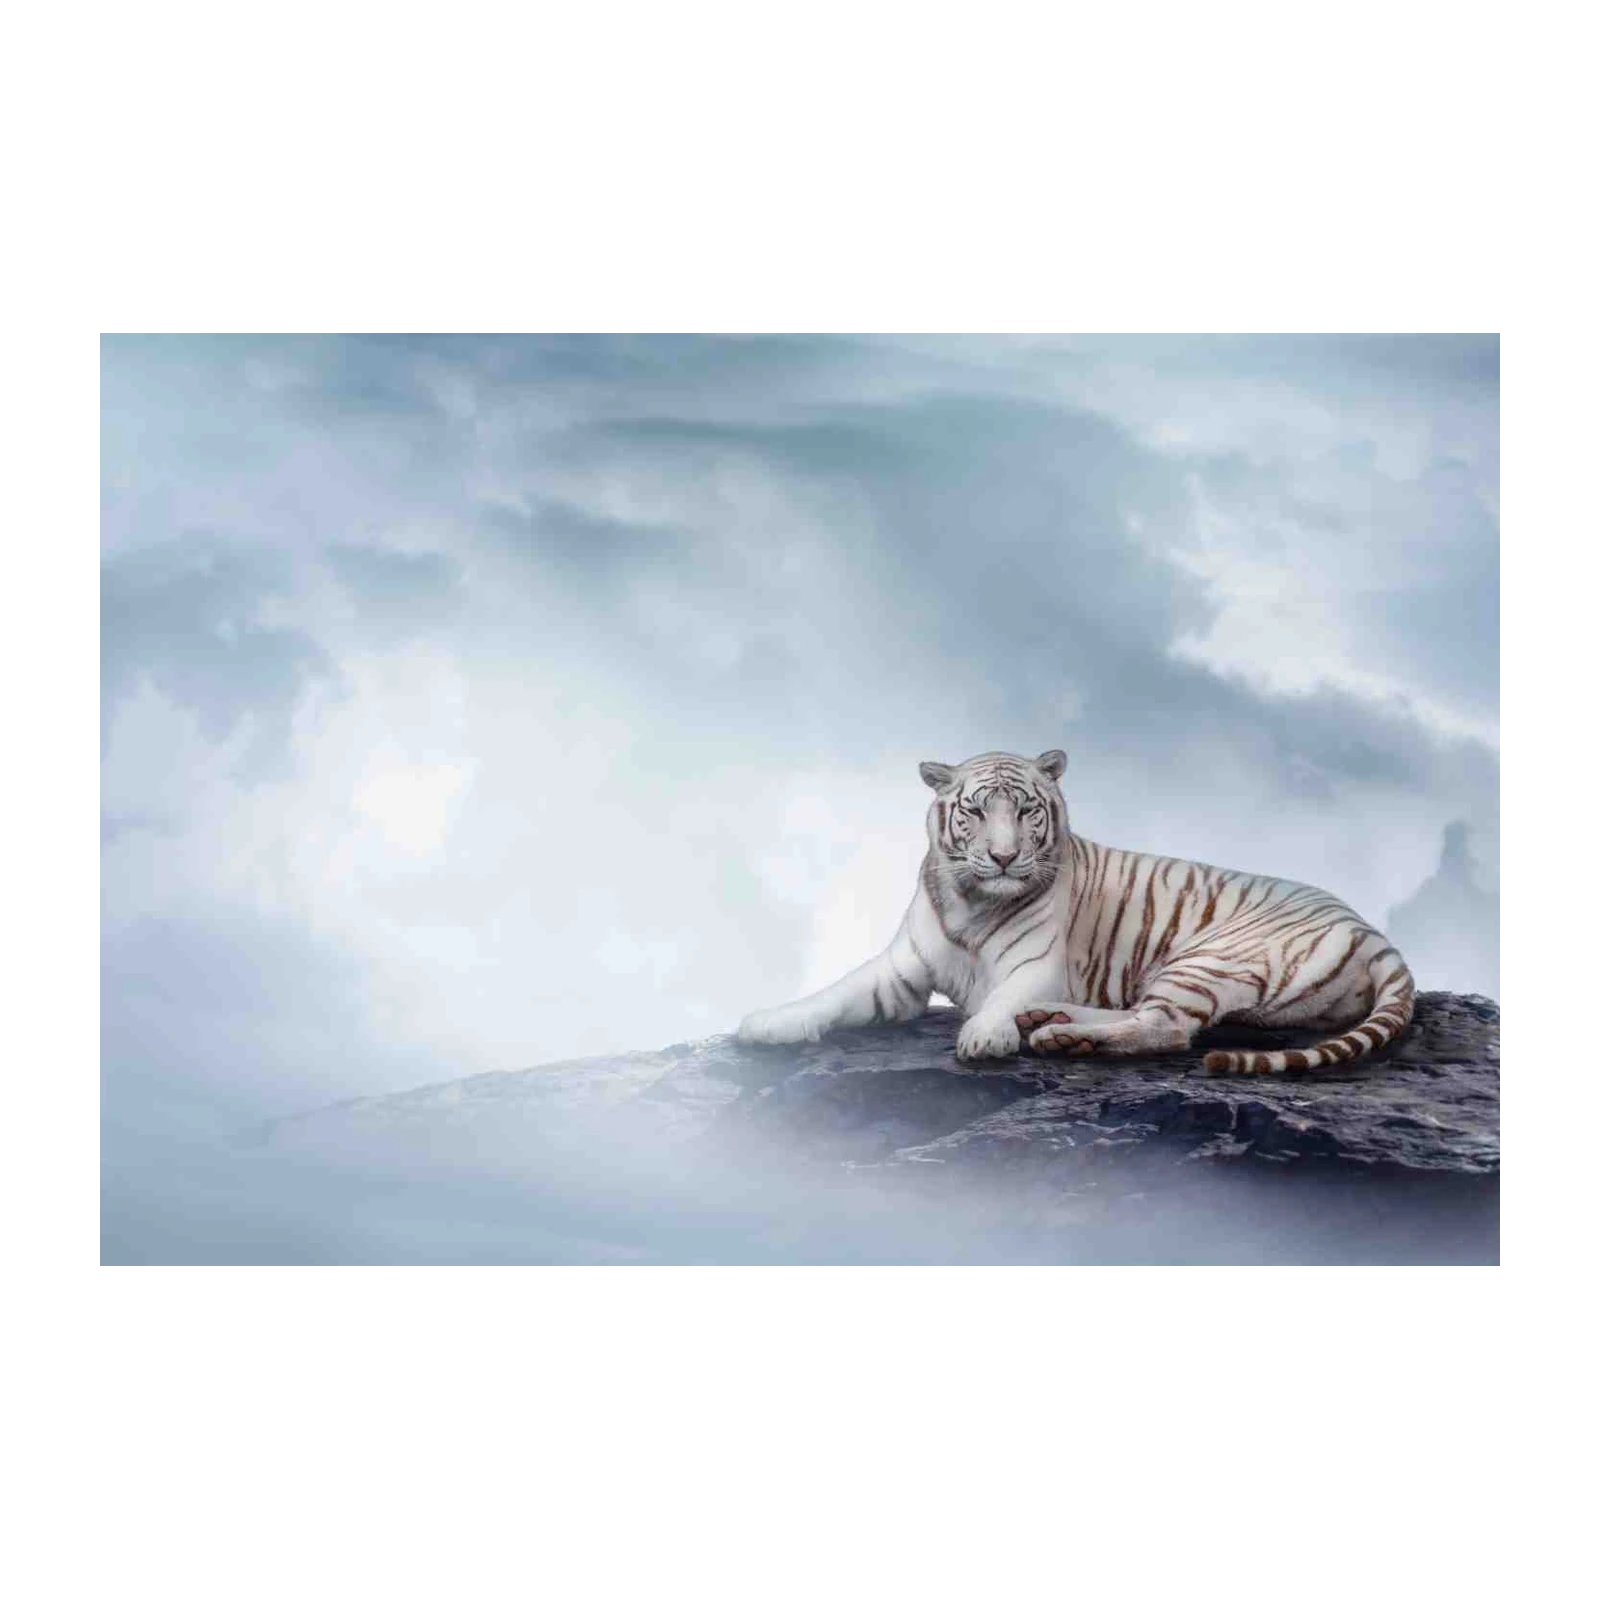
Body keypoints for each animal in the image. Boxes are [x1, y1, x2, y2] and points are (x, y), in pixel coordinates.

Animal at [736, 748, 1415, 1074]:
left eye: (1026, 810)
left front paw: (986, 1034)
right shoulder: (900, 973)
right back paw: (1052, 1020)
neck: (970, 901)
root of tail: (1375, 933)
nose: (1004, 857)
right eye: (976, 811)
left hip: (1209, 955)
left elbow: (1002, 997)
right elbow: (835, 993)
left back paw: (1062, 1035)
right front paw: (768, 1022)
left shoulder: (1036, 966)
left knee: (1167, 1027)